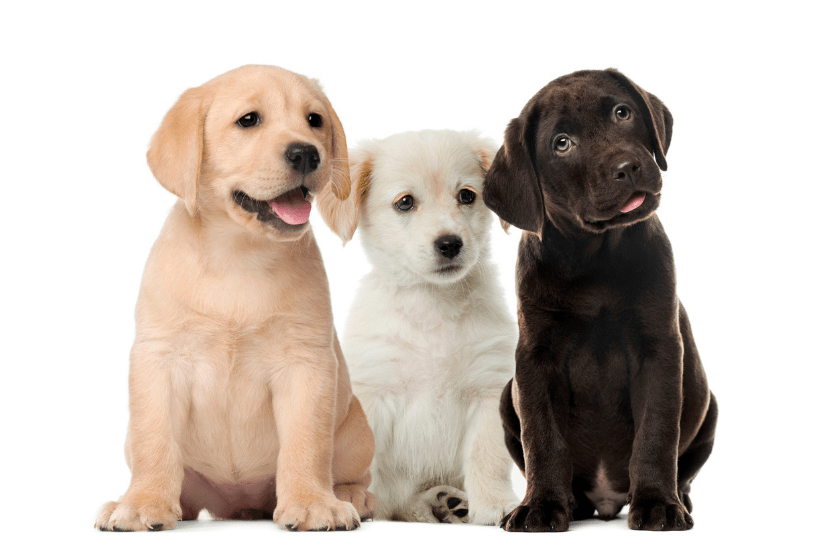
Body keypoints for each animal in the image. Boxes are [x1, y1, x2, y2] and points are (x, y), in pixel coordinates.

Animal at [92, 64, 378, 528]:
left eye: (314, 120)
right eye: (248, 120)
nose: (307, 154)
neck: (238, 253)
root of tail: (238, 502)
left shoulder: (306, 364)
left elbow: (307, 444)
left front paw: (312, 501)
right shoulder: (158, 358)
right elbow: (156, 442)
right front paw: (142, 502)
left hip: (356, 427)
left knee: (353, 471)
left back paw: (352, 496)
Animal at [318, 129, 520, 524]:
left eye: (467, 195)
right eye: (405, 203)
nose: (449, 244)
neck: (432, 306)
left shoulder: (487, 392)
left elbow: (487, 457)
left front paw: (495, 505)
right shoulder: (373, 393)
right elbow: (364, 465)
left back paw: (448, 502)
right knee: (397, 505)